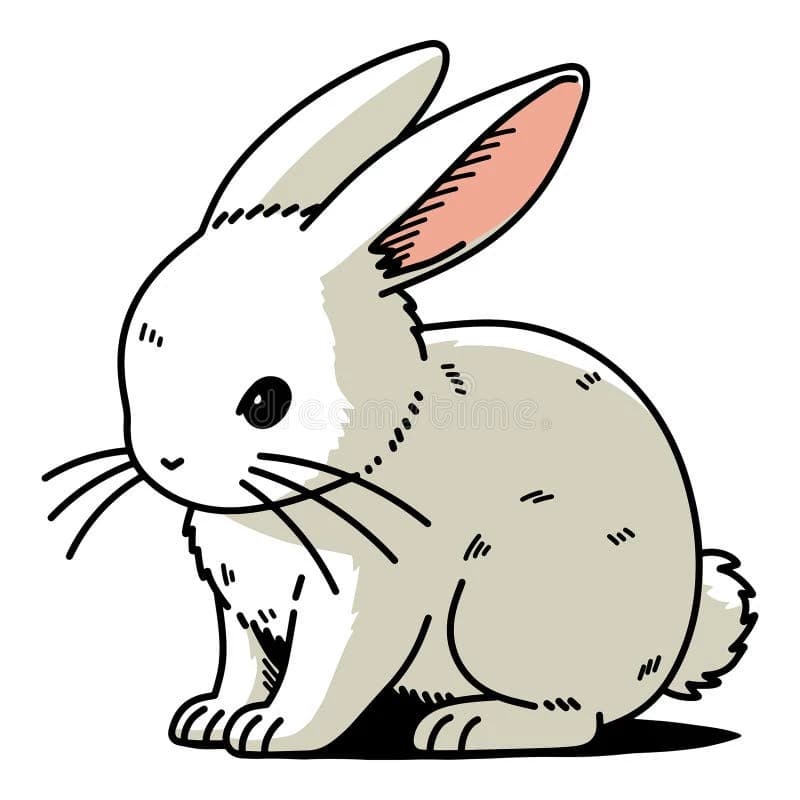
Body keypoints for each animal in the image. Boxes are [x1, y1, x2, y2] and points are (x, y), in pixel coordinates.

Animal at [43, 41, 756, 756]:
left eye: (265, 403)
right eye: (136, 360)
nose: (167, 464)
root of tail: (674, 641)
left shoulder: (362, 599)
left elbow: (323, 679)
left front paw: (272, 732)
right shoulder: (240, 608)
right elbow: (242, 667)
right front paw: (209, 719)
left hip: (507, 609)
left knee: (576, 716)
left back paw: (467, 725)